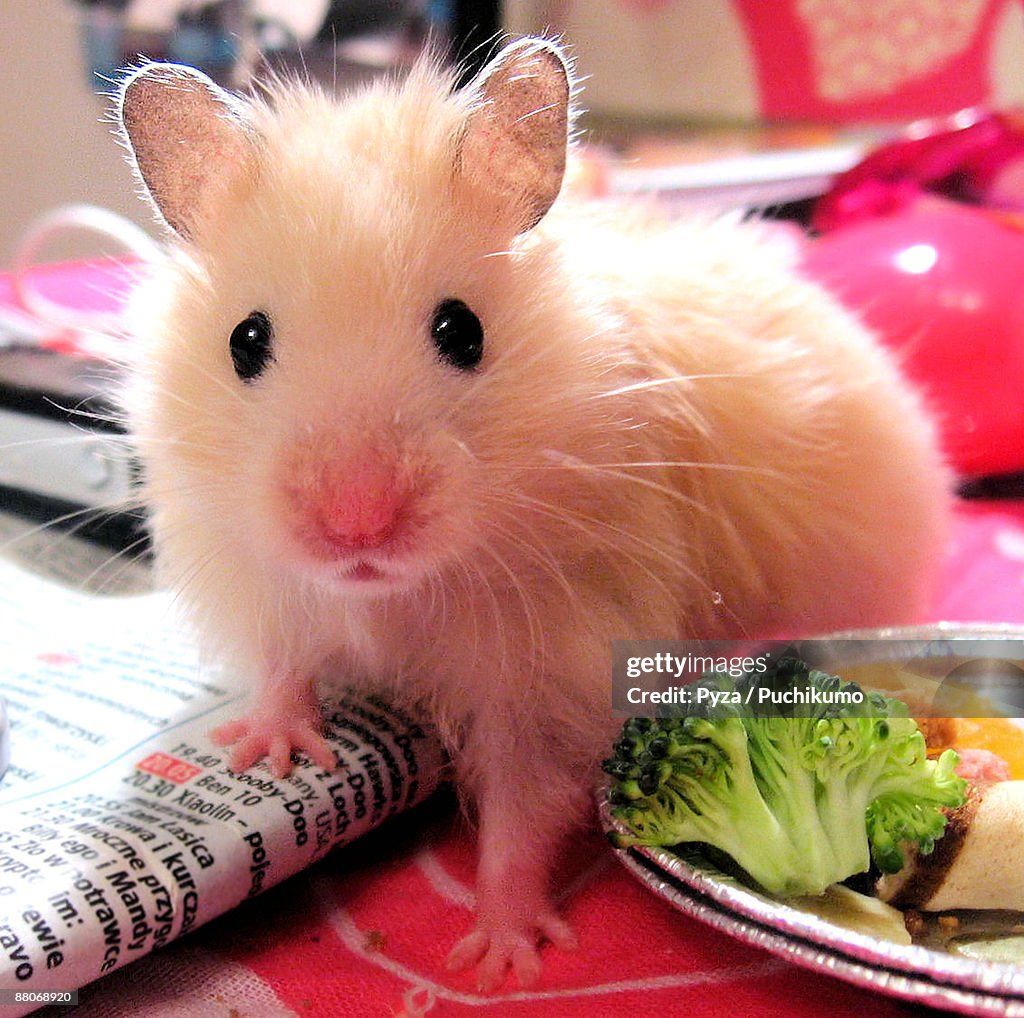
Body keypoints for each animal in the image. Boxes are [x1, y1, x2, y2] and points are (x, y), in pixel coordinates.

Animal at [116, 37, 946, 983]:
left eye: (462, 331)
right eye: (244, 341)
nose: (356, 524)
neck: (392, 596)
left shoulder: (554, 666)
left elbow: (522, 810)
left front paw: (496, 960)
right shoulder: (258, 579)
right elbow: (282, 666)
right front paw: (266, 752)